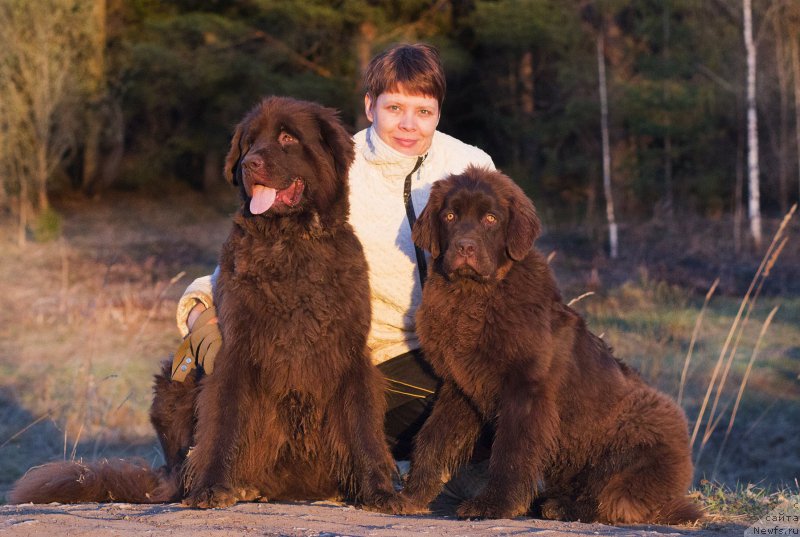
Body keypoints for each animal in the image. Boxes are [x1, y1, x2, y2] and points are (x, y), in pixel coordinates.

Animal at [14, 96, 406, 510]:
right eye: (249, 143)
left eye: (287, 137)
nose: (250, 164)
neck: (289, 244)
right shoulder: (236, 349)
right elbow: (224, 421)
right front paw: (212, 487)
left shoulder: (349, 354)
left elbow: (363, 427)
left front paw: (379, 491)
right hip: (174, 379)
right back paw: (232, 486)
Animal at [398, 165, 700, 520]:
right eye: (449, 215)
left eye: (490, 218)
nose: (464, 247)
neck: (474, 297)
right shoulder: (460, 387)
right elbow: (434, 438)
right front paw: (412, 495)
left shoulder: (525, 389)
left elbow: (511, 451)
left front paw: (495, 505)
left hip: (638, 429)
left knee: (614, 497)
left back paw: (565, 507)